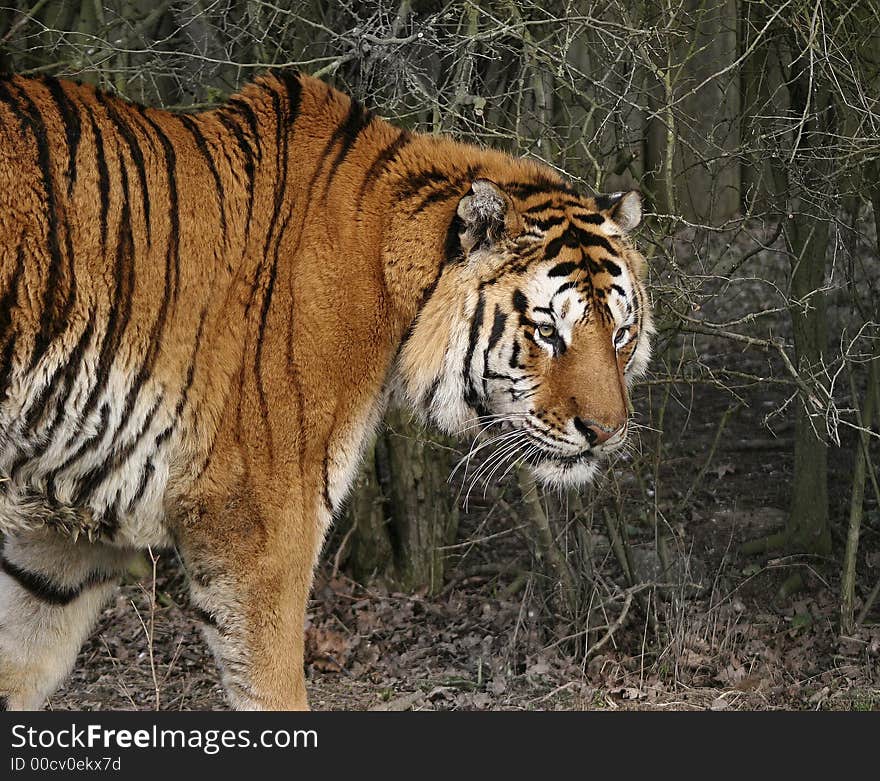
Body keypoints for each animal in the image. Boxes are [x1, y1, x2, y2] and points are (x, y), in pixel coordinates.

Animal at [0, 70, 648, 708]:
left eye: (620, 333)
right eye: (547, 330)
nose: (606, 433)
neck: (395, 279)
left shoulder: (64, 538)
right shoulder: (261, 529)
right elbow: (276, 690)